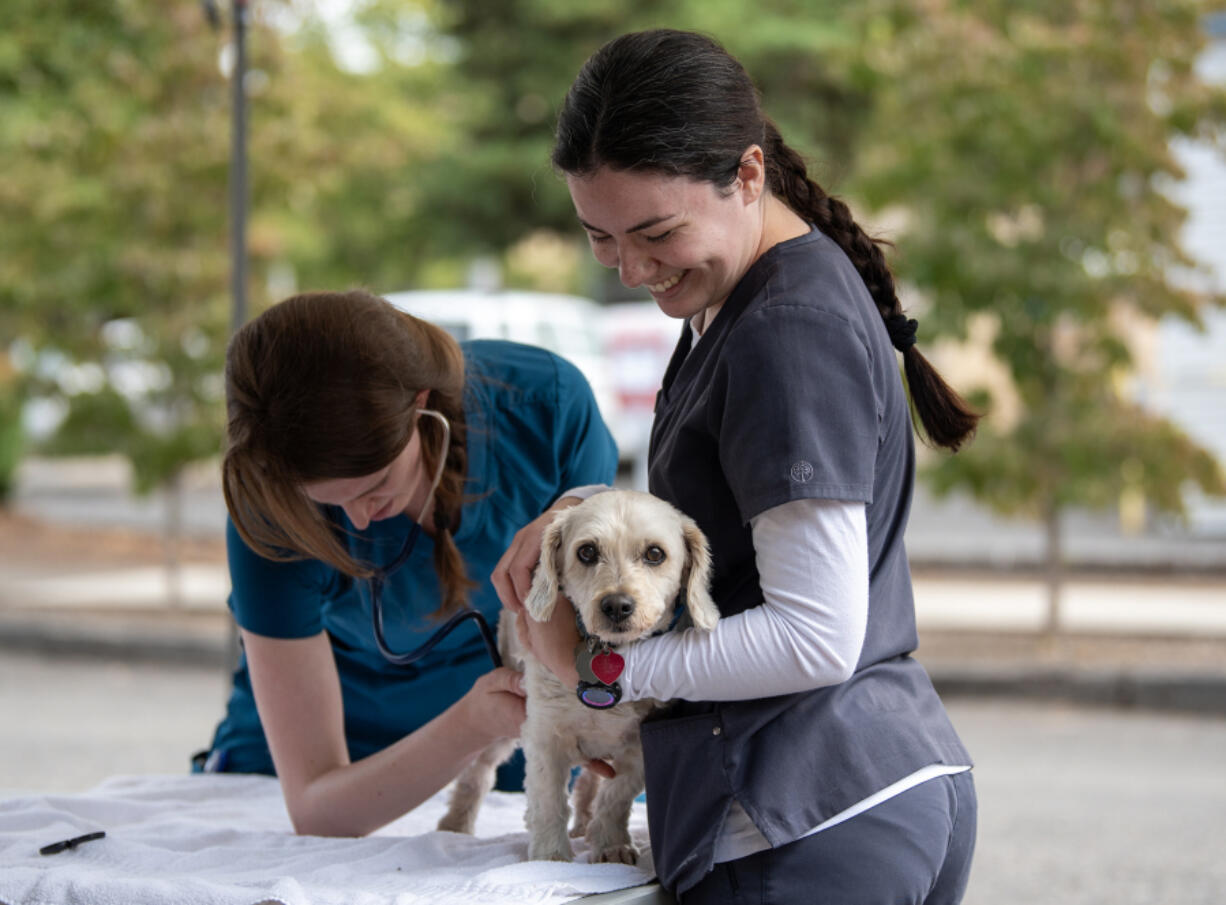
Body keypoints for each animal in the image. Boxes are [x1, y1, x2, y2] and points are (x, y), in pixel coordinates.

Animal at [436, 490, 715, 863]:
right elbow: (548, 804)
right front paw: (550, 857)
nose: (616, 605)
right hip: (503, 714)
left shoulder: (641, 747)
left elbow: (615, 798)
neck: (610, 653)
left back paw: (585, 824)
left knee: (588, 784)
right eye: (587, 551)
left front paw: (611, 844)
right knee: (477, 773)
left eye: (655, 554)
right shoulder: (544, 737)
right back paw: (455, 824)